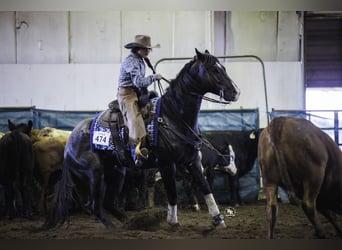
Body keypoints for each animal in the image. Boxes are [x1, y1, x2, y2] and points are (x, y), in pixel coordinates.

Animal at [45, 48, 240, 229]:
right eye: (214, 69)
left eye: (223, 67)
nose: (236, 92)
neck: (173, 115)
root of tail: (70, 140)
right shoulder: (167, 164)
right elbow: (172, 193)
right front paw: (173, 222)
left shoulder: (192, 161)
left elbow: (205, 187)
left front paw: (219, 220)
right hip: (96, 174)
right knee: (94, 205)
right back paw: (114, 229)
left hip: (117, 171)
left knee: (108, 203)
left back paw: (129, 223)